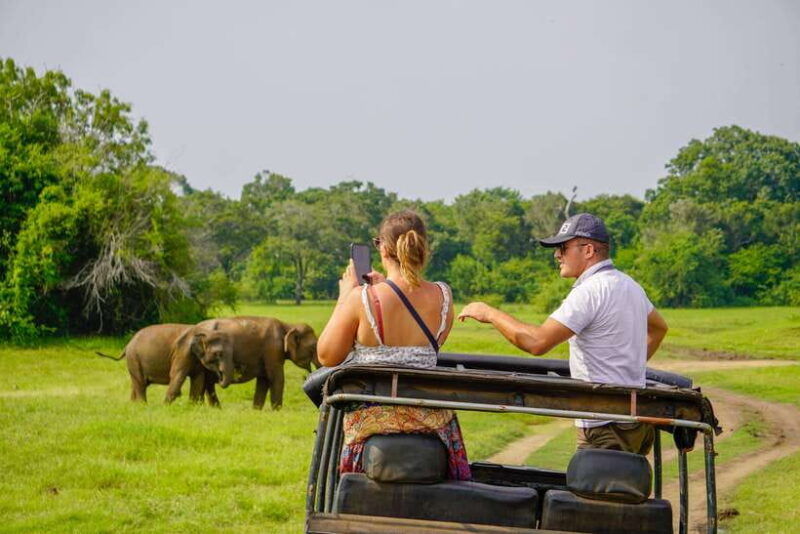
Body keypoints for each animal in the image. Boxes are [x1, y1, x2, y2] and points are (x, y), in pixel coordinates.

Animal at [166, 316, 318, 410]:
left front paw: (256, 410)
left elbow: (263, 380)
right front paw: (277, 411)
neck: (287, 326)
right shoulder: (273, 350)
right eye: (313, 348)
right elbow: (276, 378)